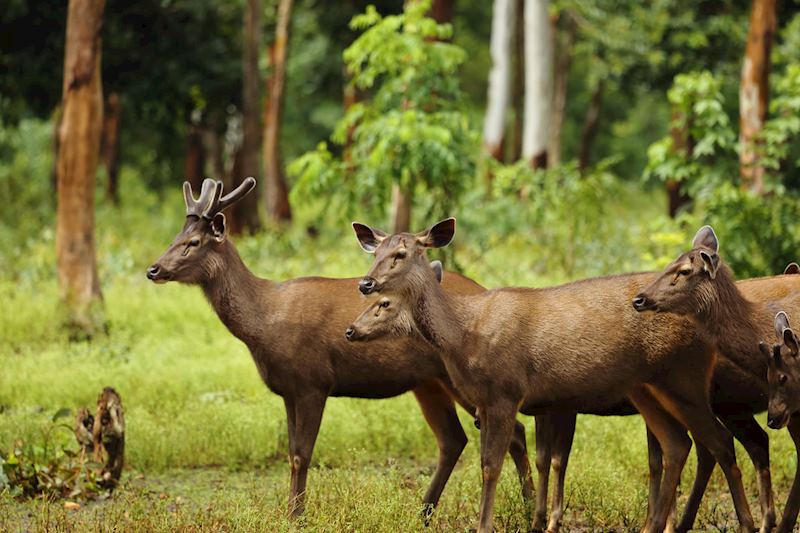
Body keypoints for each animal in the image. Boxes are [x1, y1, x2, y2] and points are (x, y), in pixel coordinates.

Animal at [148, 179, 536, 520]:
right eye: (174, 238)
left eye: (193, 242)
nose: (153, 269)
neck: (264, 320)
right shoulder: (288, 389)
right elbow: (291, 453)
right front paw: (292, 512)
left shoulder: (312, 380)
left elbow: (302, 454)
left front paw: (297, 516)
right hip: (428, 382)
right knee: (453, 439)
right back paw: (424, 513)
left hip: (462, 377)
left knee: (513, 431)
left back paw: (527, 507)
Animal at [344, 217, 756, 532]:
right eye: (376, 252)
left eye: (400, 254)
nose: (365, 283)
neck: (464, 334)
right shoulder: (496, 402)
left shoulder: (506, 392)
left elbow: (491, 465)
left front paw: (486, 525)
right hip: (649, 388)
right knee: (678, 445)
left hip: (685, 377)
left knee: (719, 442)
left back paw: (748, 523)